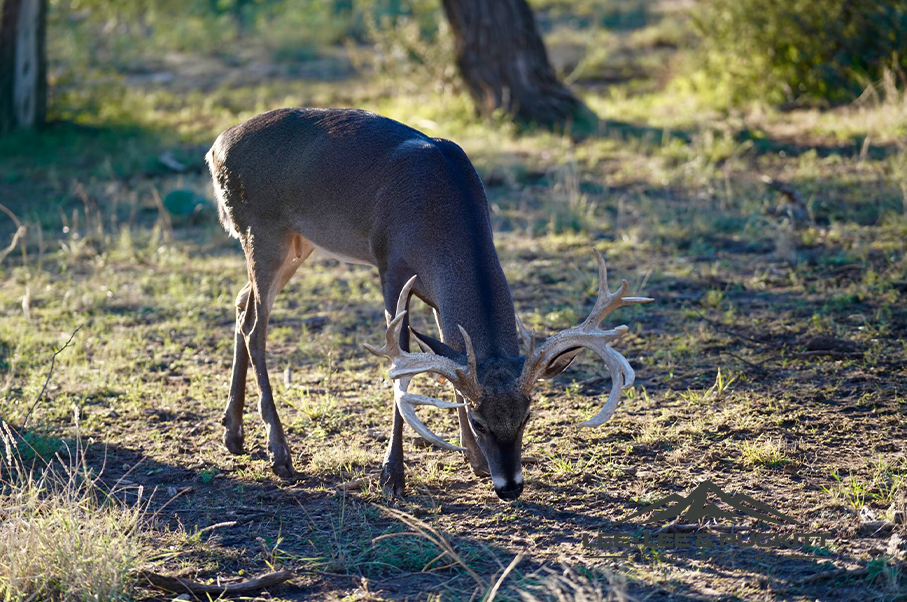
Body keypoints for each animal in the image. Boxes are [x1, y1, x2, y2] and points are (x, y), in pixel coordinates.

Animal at [206, 106, 652, 496]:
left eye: (527, 415)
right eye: (479, 421)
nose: (510, 486)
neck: (442, 219)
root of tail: (215, 147)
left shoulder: (439, 299)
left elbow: (450, 360)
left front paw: (473, 461)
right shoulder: (389, 267)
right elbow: (402, 365)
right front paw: (392, 475)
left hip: (298, 244)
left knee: (242, 302)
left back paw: (233, 433)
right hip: (262, 231)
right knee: (255, 324)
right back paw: (279, 454)